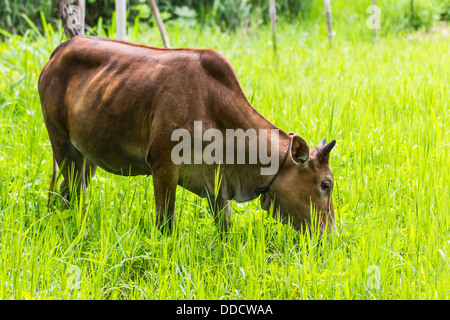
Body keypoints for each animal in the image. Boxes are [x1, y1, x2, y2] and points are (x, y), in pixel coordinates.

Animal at [38, 36, 336, 238]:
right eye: (326, 184)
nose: (330, 236)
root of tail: (59, 50)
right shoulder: (162, 167)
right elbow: (165, 225)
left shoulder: (218, 184)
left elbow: (225, 229)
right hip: (62, 144)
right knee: (73, 193)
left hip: (87, 157)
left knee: (69, 192)